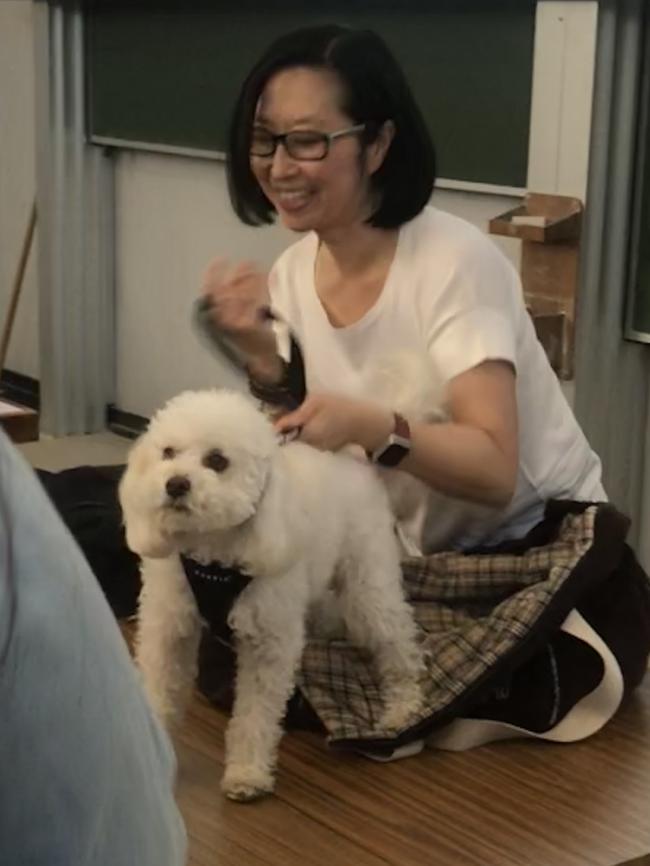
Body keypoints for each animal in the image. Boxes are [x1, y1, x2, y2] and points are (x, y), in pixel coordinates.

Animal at [119, 388, 422, 800]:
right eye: (167, 452)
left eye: (217, 461)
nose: (175, 484)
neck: (214, 554)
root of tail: (354, 462)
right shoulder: (169, 628)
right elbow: (160, 686)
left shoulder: (268, 641)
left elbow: (256, 716)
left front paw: (247, 773)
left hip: (368, 584)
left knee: (396, 641)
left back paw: (403, 706)